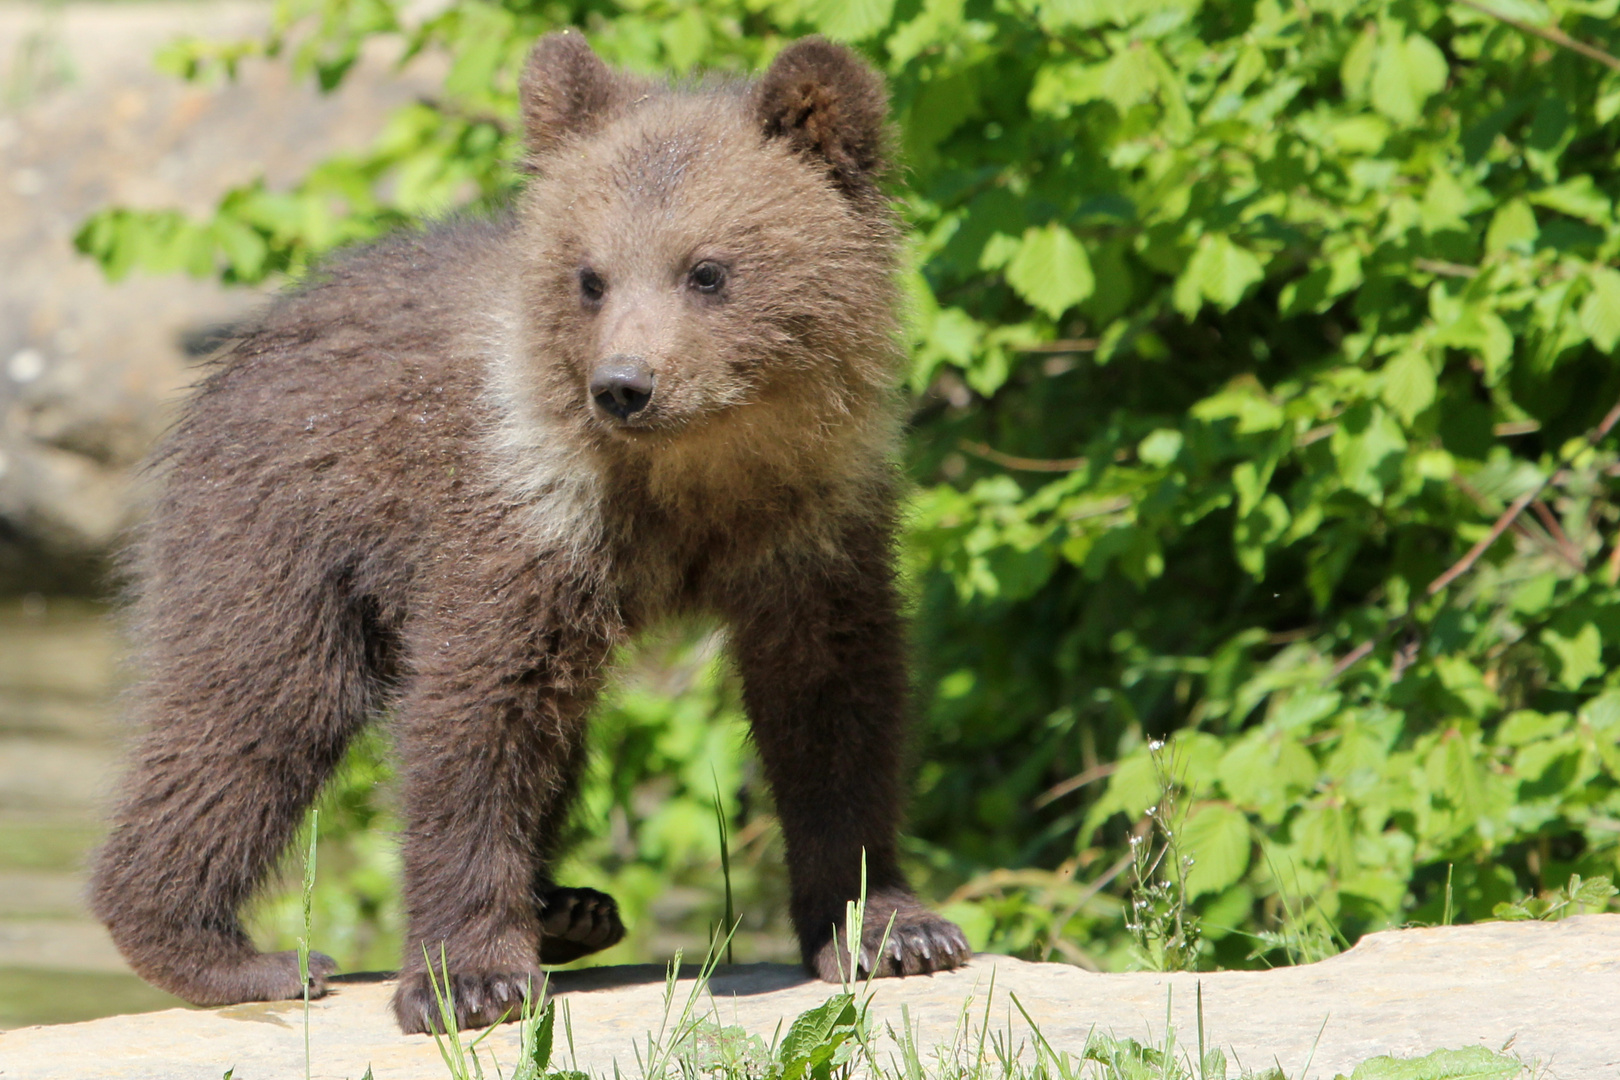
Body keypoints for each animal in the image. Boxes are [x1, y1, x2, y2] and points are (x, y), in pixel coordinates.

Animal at [87, 31, 972, 1035]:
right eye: (590, 276)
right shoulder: (526, 514)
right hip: (276, 526)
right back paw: (226, 951)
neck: (696, 473)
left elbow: (834, 703)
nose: (624, 385)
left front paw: (892, 928)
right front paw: (471, 979)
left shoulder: (816, 527)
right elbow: (479, 713)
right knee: (253, 708)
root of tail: (247, 342)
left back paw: (569, 910)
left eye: (707, 269)